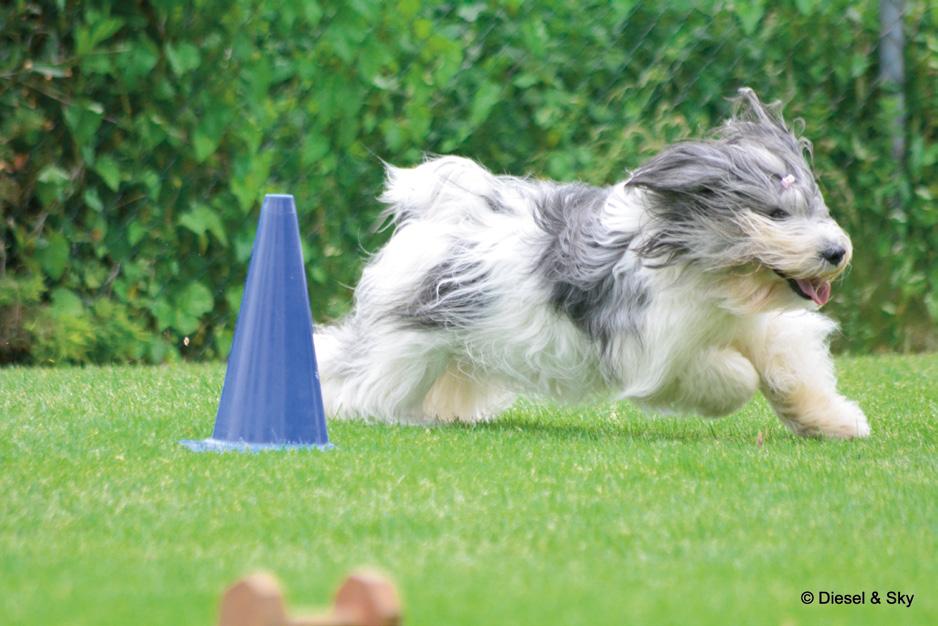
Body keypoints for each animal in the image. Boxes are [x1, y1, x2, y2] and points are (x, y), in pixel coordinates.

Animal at [314, 88, 872, 436]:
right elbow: (733, 377)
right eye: (776, 213)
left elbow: (788, 367)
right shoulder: (654, 349)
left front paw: (835, 423)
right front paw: (739, 385)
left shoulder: (758, 325)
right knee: (350, 370)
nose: (836, 252)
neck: (708, 271)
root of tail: (440, 213)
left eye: (817, 206)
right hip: (405, 344)